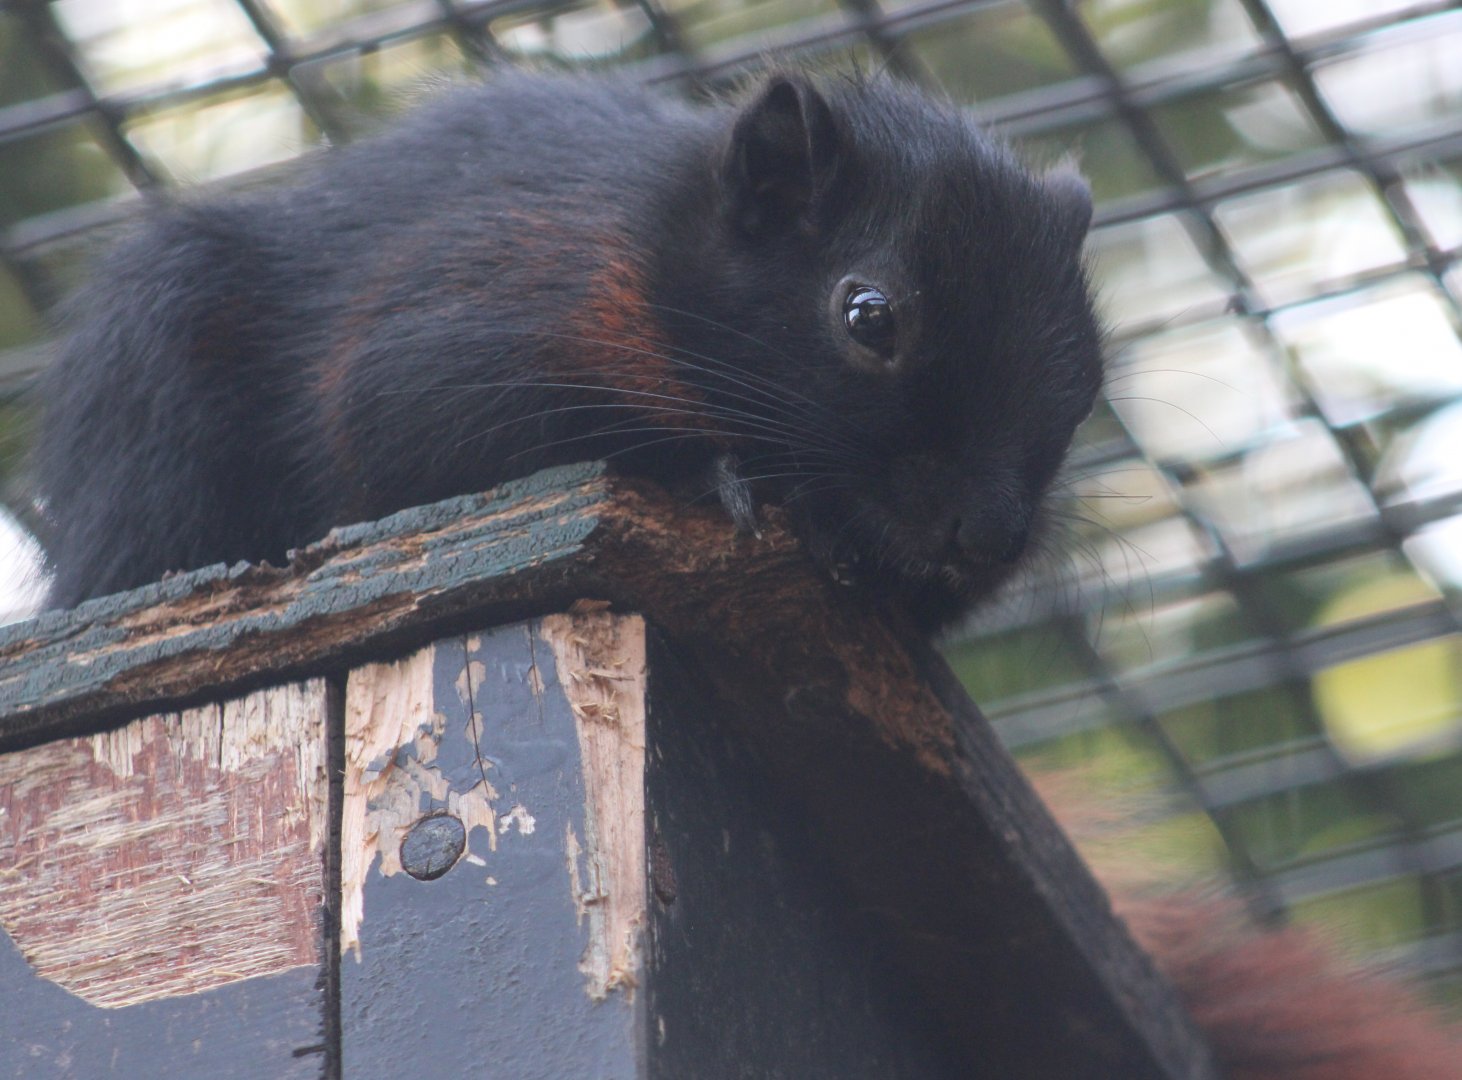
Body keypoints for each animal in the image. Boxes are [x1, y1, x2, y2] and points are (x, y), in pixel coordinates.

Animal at [32, 68, 1102, 627]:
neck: (658, 252)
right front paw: (719, 474)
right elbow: (405, 431)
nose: (986, 535)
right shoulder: (486, 305)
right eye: (867, 315)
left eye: (1090, 379)